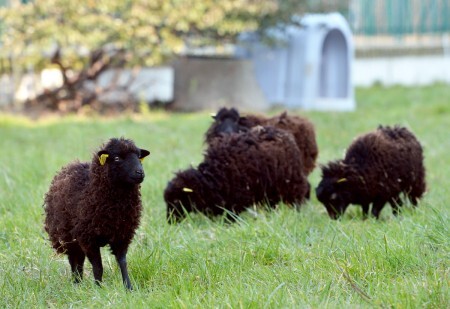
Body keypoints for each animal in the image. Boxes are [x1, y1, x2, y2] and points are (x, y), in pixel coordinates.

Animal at [43, 137, 150, 288]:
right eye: (117, 158)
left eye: (139, 157)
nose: (139, 172)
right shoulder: (89, 238)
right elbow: (98, 267)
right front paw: (98, 288)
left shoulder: (122, 234)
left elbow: (123, 263)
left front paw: (128, 287)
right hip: (69, 237)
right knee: (75, 261)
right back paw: (77, 283)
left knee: (78, 260)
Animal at [165, 125, 310, 221]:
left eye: (177, 200)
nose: (170, 222)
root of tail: (283, 133)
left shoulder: (237, 199)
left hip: (292, 182)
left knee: (298, 196)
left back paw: (297, 212)